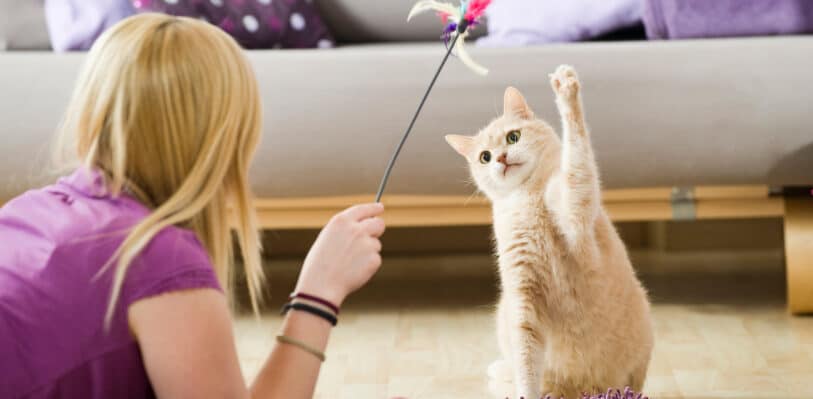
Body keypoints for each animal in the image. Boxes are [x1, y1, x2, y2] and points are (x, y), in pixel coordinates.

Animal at [444, 66, 652, 399]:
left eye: (513, 137)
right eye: (484, 157)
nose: (501, 159)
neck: (527, 198)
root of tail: (580, 389)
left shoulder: (575, 205)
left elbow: (577, 153)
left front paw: (566, 91)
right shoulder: (523, 301)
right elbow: (526, 363)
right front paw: (524, 389)